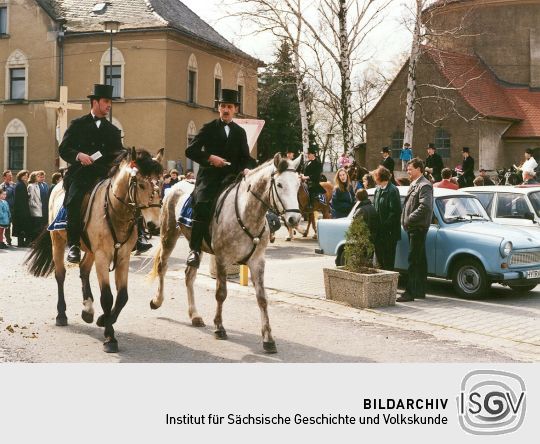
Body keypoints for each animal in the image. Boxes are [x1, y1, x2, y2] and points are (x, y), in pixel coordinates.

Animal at [25, 149, 162, 354]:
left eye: (160, 184)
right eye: (141, 184)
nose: (154, 226)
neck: (115, 211)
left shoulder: (122, 257)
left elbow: (122, 297)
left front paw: (103, 319)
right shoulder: (103, 256)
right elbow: (107, 297)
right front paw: (110, 337)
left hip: (90, 250)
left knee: (83, 270)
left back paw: (88, 310)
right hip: (58, 241)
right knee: (60, 275)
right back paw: (61, 314)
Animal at [148, 153, 304, 354]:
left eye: (298, 184)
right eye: (279, 184)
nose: (294, 218)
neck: (247, 213)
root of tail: (175, 186)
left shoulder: (257, 261)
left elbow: (262, 299)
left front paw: (268, 339)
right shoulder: (222, 259)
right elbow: (221, 293)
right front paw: (219, 328)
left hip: (196, 246)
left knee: (189, 275)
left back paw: (195, 315)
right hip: (168, 235)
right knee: (162, 266)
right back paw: (157, 301)